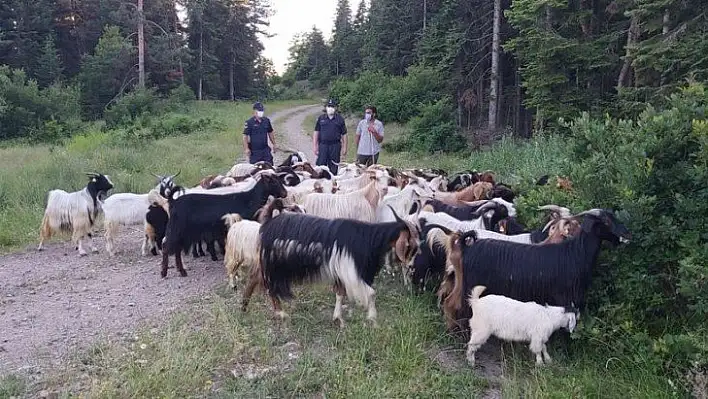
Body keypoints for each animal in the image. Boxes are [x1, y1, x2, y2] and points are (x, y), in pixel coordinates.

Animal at [242, 200, 420, 328]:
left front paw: (338, 319)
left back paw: (244, 308)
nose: (412, 266)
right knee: (269, 286)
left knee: (254, 279)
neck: (368, 239)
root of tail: (267, 222)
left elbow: (340, 294)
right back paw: (280, 313)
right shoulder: (351, 273)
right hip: (273, 266)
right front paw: (373, 320)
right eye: (412, 245)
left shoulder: (342, 273)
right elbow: (371, 293)